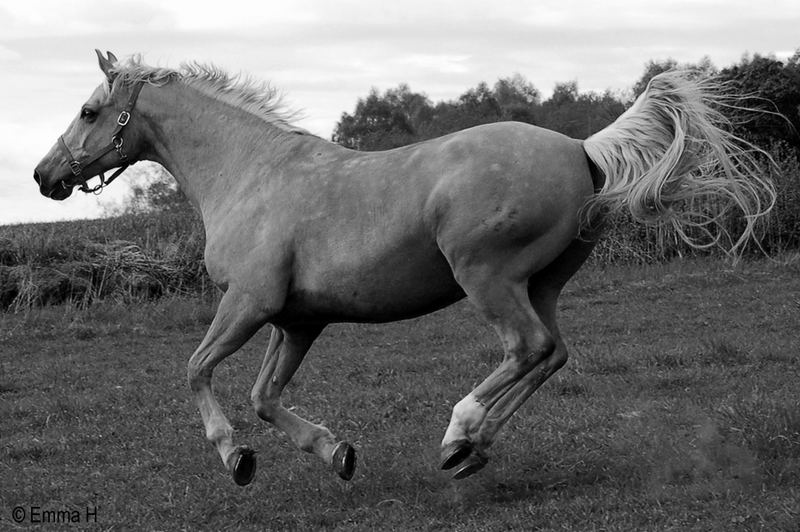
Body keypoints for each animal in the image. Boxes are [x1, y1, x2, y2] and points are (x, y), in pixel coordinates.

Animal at [32, 52, 776, 484]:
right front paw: (336, 453)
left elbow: (196, 371)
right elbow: (265, 398)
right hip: (541, 283)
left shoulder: (247, 304)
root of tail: (582, 150)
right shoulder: (296, 322)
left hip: (488, 278)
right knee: (552, 354)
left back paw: (459, 430)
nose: (44, 176)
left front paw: (235, 457)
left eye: (89, 110)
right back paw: (470, 450)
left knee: (527, 348)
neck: (250, 175)